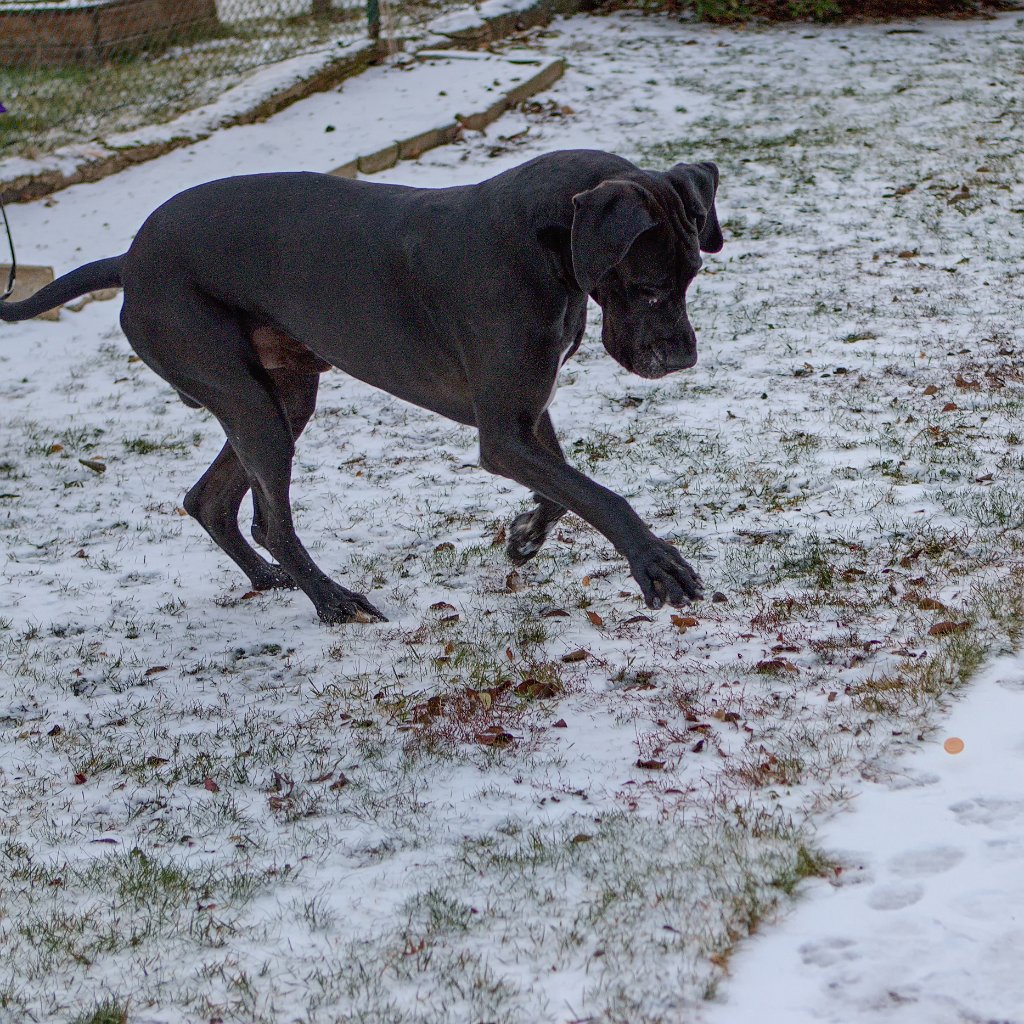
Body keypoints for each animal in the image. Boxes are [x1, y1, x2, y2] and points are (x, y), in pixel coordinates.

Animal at [2, 147, 720, 618]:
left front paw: (525, 536)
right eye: (651, 286)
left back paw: (270, 581)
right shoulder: (502, 433)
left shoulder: (524, 408)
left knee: (209, 501)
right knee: (271, 521)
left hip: (281, 396)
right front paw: (653, 562)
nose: (681, 359)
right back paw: (333, 600)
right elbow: (599, 494)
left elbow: (565, 489)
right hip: (244, 398)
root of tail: (128, 259)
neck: (542, 244)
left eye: (691, 277)